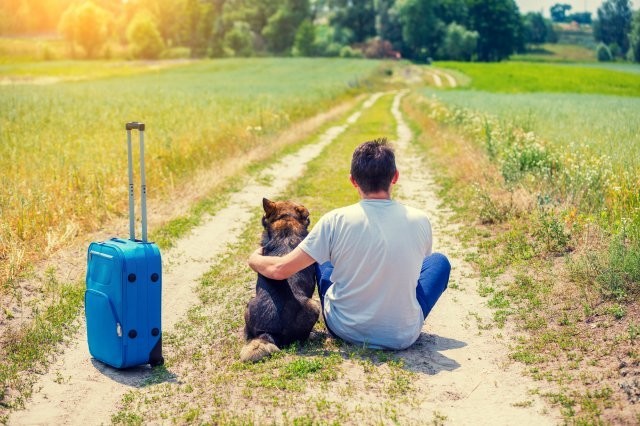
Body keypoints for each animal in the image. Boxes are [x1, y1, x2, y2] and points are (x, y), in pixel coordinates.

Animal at [240, 198, 320, 362]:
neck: (286, 220)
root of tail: (266, 334)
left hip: (249, 303)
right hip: (314, 305)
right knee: (302, 338)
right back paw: (312, 335)